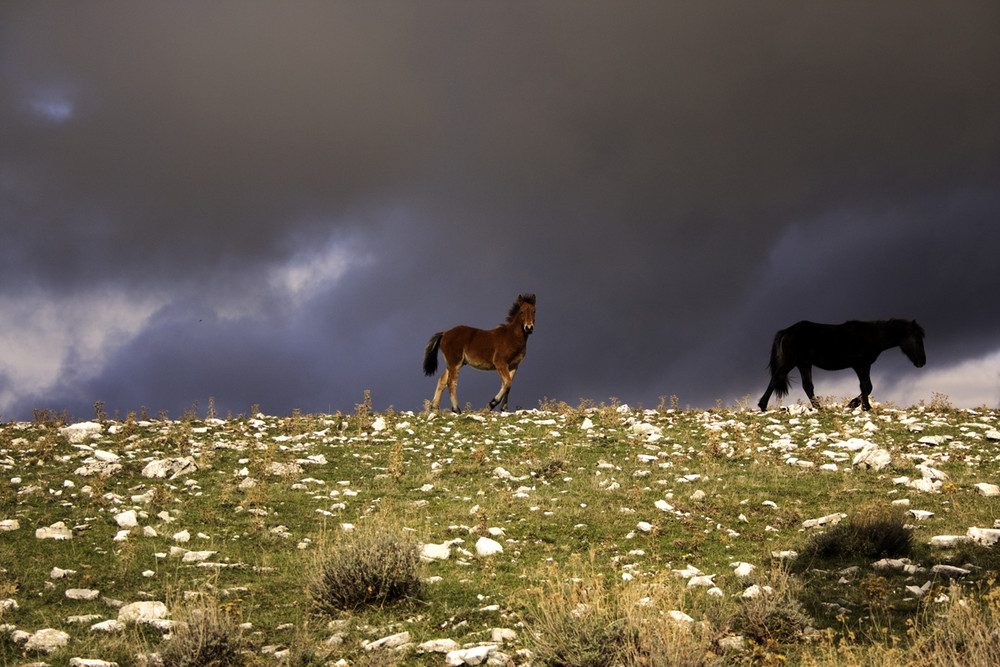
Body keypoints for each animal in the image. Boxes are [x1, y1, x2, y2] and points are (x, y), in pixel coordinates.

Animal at [756, 320, 928, 412]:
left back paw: (820, 408)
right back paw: (763, 406)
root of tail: (787, 331)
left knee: (808, 386)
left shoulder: (863, 366)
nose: (922, 362)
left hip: (804, 364)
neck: (872, 336)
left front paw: (856, 404)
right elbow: (866, 386)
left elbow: (867, 387)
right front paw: (863, 406)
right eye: (918, 340)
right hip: (792, 362)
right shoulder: (861, 365)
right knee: (777, 378)